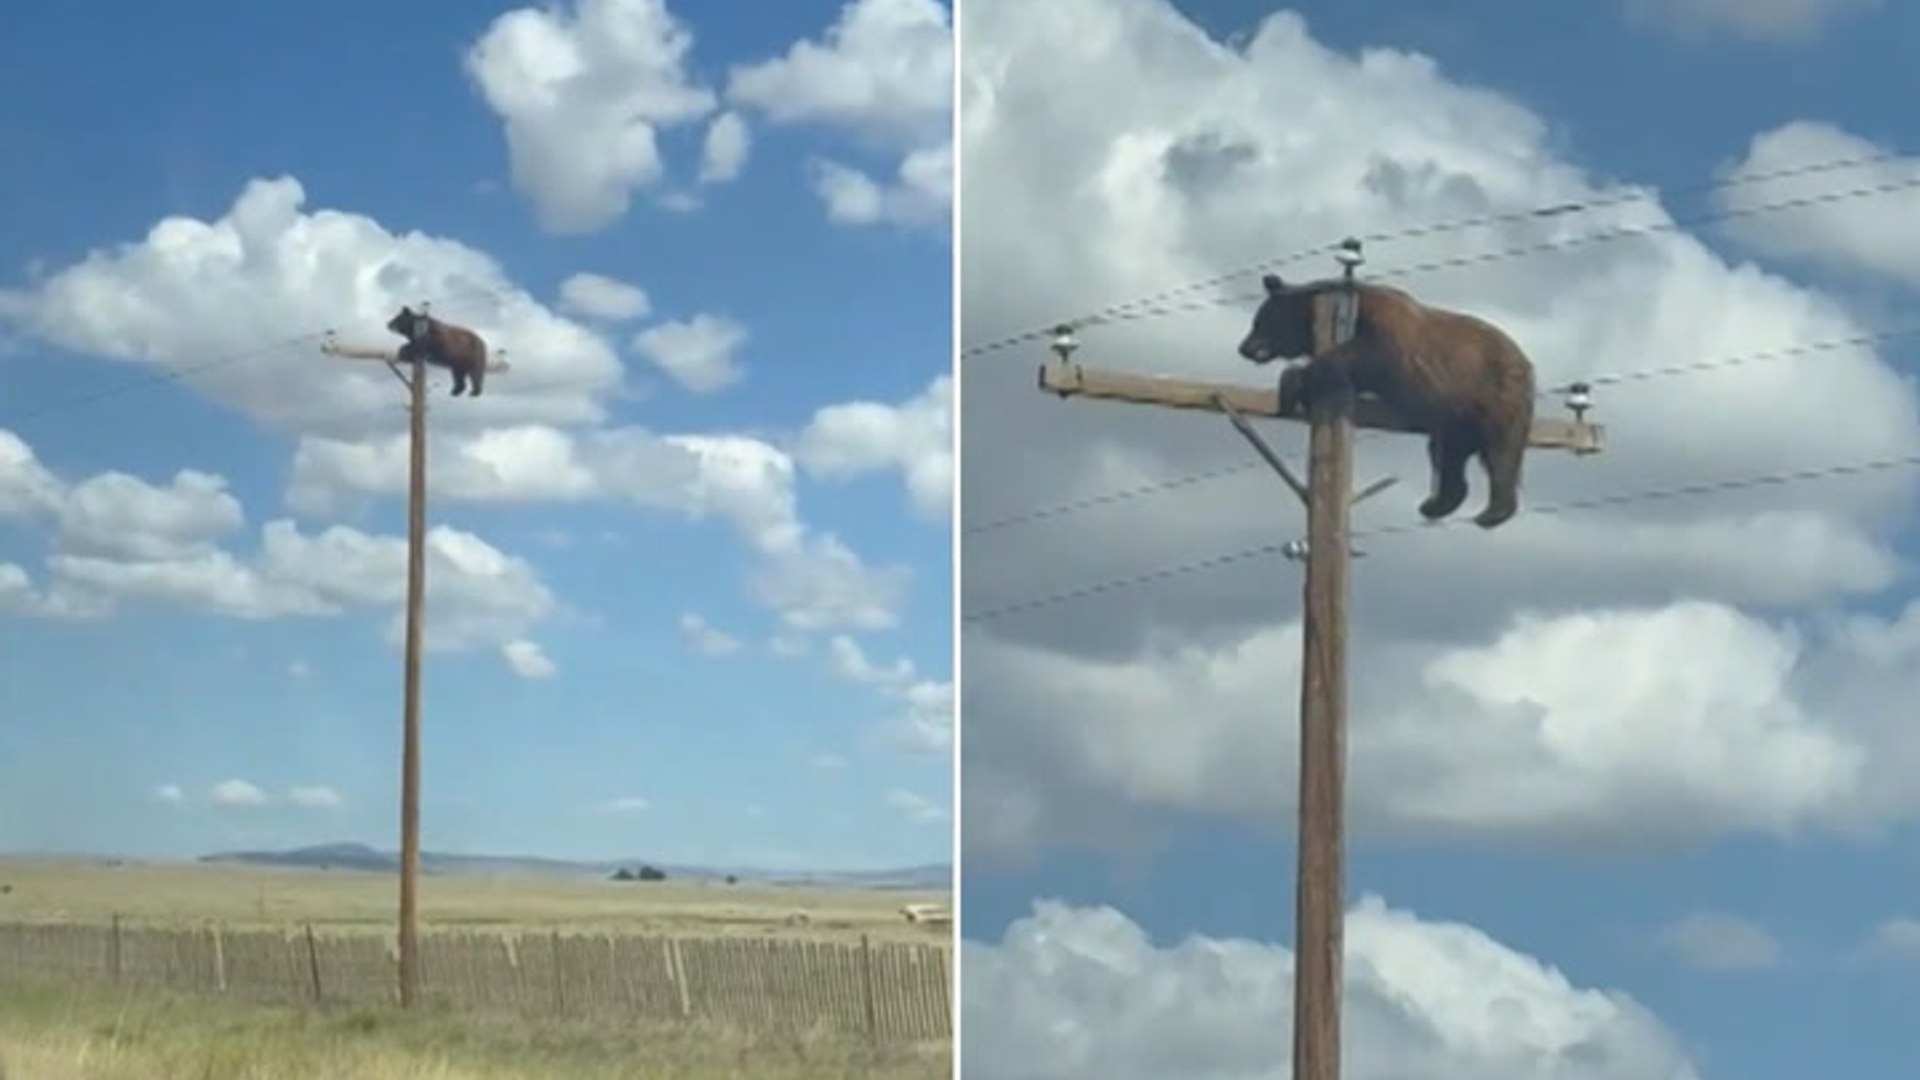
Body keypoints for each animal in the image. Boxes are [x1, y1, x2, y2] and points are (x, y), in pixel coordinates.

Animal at [1236, 273, 1536, 529]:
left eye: (1259, 321)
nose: (1243, 347)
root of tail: (1526, 363)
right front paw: (1297, 392)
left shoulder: (1389, 335)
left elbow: (1364, 355)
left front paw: (1291, 381)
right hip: (1456, 418)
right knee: (1448, 455)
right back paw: (1436, 504)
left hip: (1496, 394)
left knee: (1501, 450)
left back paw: (1493, 512)